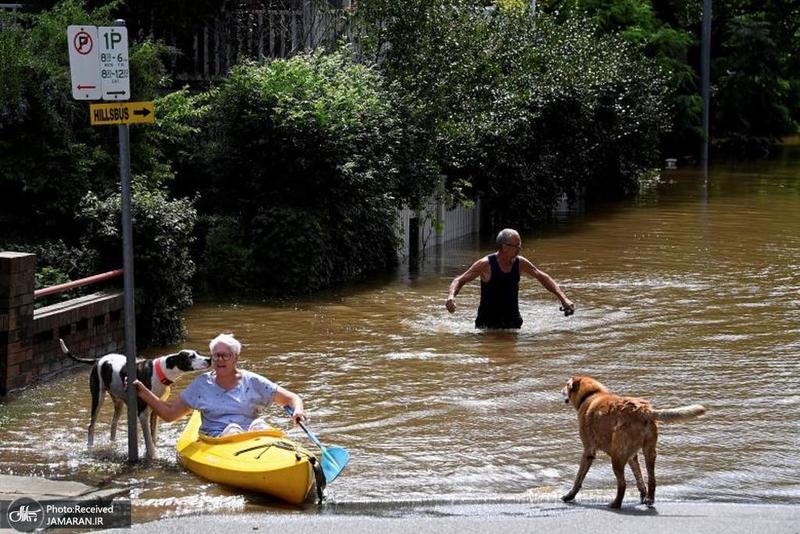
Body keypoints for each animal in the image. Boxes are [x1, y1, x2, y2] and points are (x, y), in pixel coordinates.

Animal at [59, 340, 211, 460]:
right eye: (191, 357)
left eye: (198, 353)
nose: (209, 359)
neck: (160, 371)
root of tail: (98, 360)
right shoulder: (143, 412)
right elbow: (148, 439)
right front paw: (152, 456)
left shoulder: (156, 410)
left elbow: (153, 435)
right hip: (98, 398)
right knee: (91, 426)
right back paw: (90, 447)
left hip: (118, 404)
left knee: (113, 425)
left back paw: (112, 444)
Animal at [560, 376, 704, 510]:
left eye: (566, 384)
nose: (560, 391)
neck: (591, 394)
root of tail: (644, 410)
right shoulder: (632, 456)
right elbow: (639, 479)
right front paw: (642, 496)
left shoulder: (588, 451)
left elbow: (578, 478)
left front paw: (569, 496)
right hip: (648, 452)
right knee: (651, 479)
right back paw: (649, 499)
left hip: (616, 457)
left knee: (622, 484)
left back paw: (615, 504)